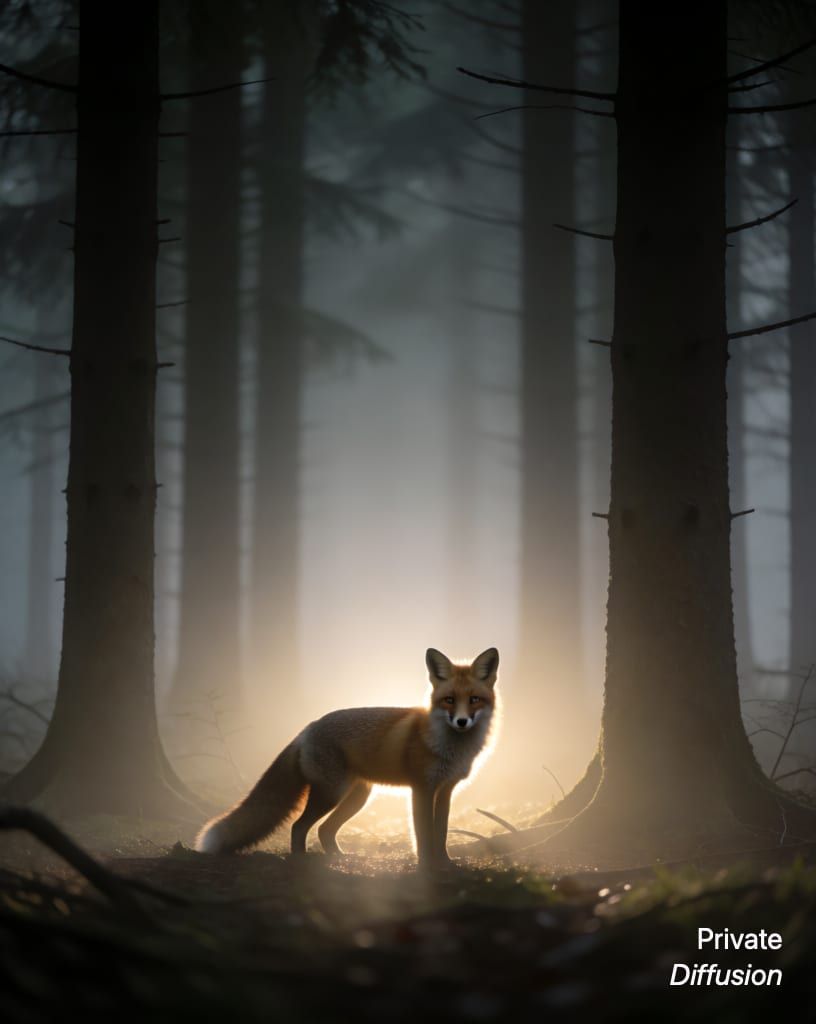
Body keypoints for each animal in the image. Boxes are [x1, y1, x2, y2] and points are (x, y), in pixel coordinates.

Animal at [194, 646, 499, 868]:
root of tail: (308, 728)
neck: (449, 746)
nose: (461, 722)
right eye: (449, 700)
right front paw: (427, 866)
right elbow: (424, 833)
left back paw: (338, 858)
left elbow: (442, 832)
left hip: (357, 797)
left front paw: (445, 863)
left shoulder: (445, 790)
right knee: (298, 826)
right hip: (331, 793)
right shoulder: (422, 789)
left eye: (474, 699)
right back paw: (301, 861)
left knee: (324, 830)